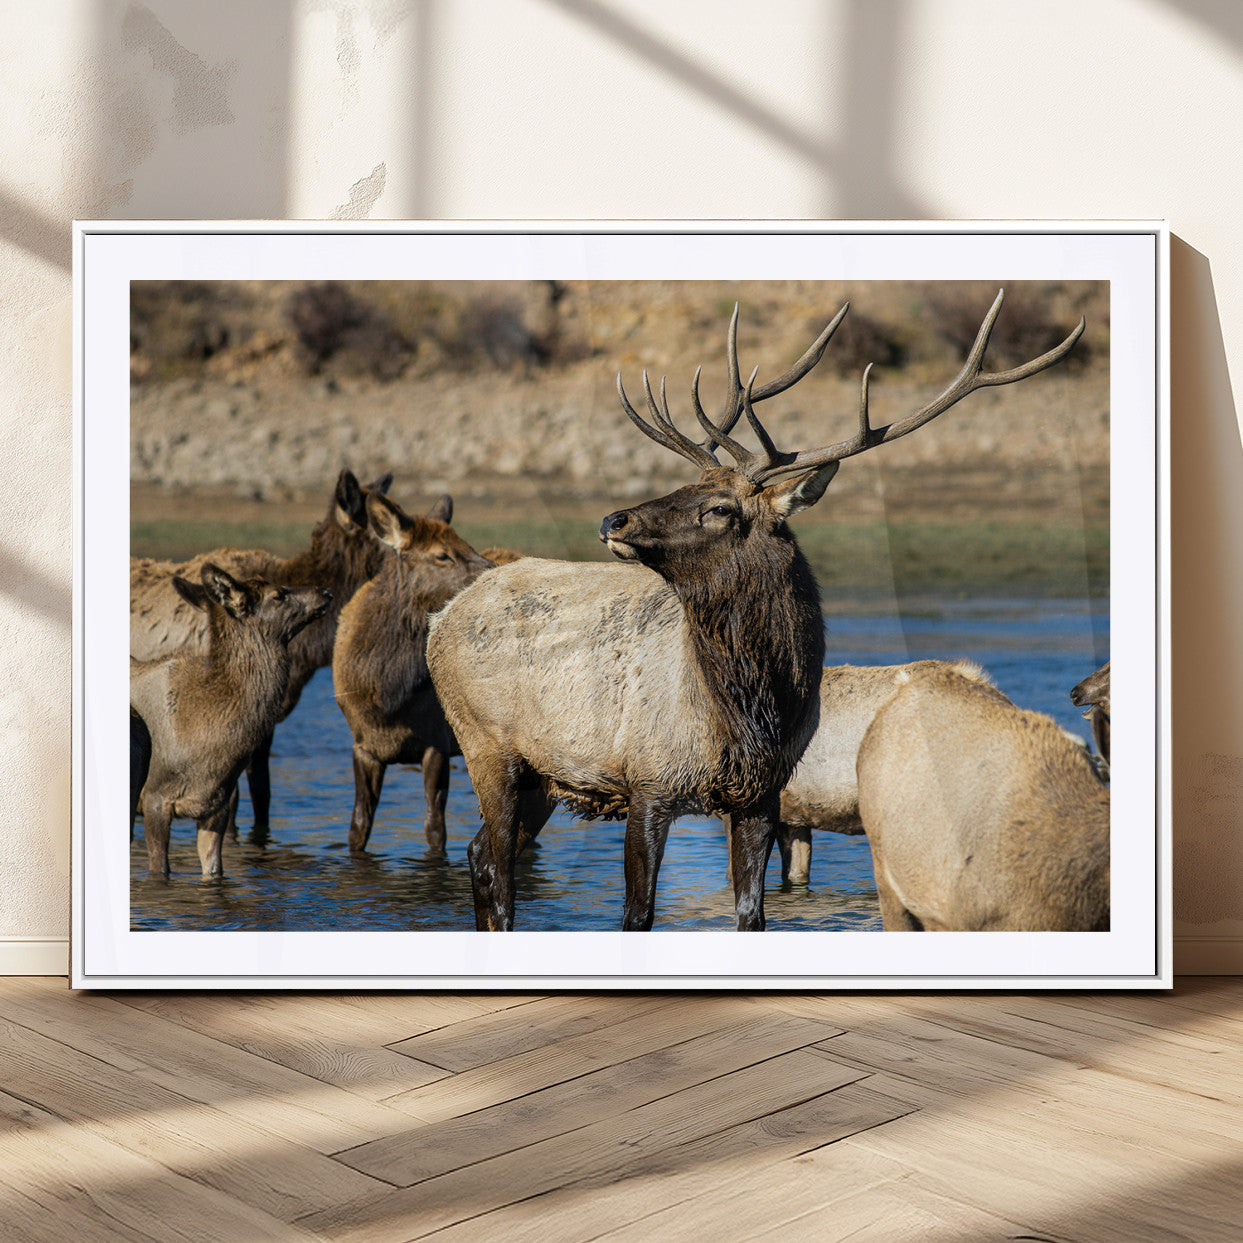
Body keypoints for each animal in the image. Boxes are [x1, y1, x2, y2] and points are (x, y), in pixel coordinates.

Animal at [130, 564, 332, 878]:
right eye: (279, 594)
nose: (326, 591)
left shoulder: (217, 805)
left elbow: (214, 870)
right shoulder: (154, 798)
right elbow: (159, 870)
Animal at [332, 491, 495, 854]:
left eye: (468, 544)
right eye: (442, 554)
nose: (495, 572)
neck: (388, 696)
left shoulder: (437, 741)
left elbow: (435, 829)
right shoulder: (362, 745)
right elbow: (357, 828)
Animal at [428, 290, 1084, 932]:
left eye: (718, 506)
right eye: (684, 486)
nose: (613, 519)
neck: (748, 712)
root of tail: (443, 617)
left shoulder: (764, 796)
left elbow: (753, 913)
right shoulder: (649, 780)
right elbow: (638, 915)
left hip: (539, 773)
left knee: (481, 854)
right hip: (485, 743)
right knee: (496, 868)